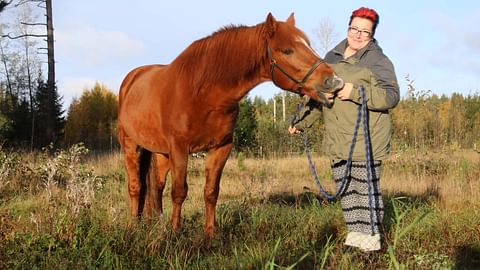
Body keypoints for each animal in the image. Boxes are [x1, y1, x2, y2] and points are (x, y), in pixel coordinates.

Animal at [117, 12, 344, 237]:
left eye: (308, 45)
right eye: (287, 50)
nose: (334, 81)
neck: (203, 93)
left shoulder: (221, 148)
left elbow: (211, 192)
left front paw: (210, 234)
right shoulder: (179, 149)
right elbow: (179, 191)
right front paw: (176, 233)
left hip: (161, 153)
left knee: (157, 186)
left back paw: (157, 223)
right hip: (131, 146)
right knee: (136, 187)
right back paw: (132, 226)